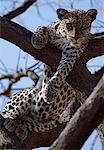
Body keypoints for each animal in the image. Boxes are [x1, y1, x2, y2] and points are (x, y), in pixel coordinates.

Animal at [0, 7, 97, 139]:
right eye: (69, 25)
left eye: (83, 26)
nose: (75, 38)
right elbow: (43, 27)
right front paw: (38, 40)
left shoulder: (72, 53)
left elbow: (62, 70)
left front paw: (50, 91)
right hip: (28, 93)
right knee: (7, 111)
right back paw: (10, 120)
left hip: (48, 121)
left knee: (29, 122)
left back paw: (20, 127)